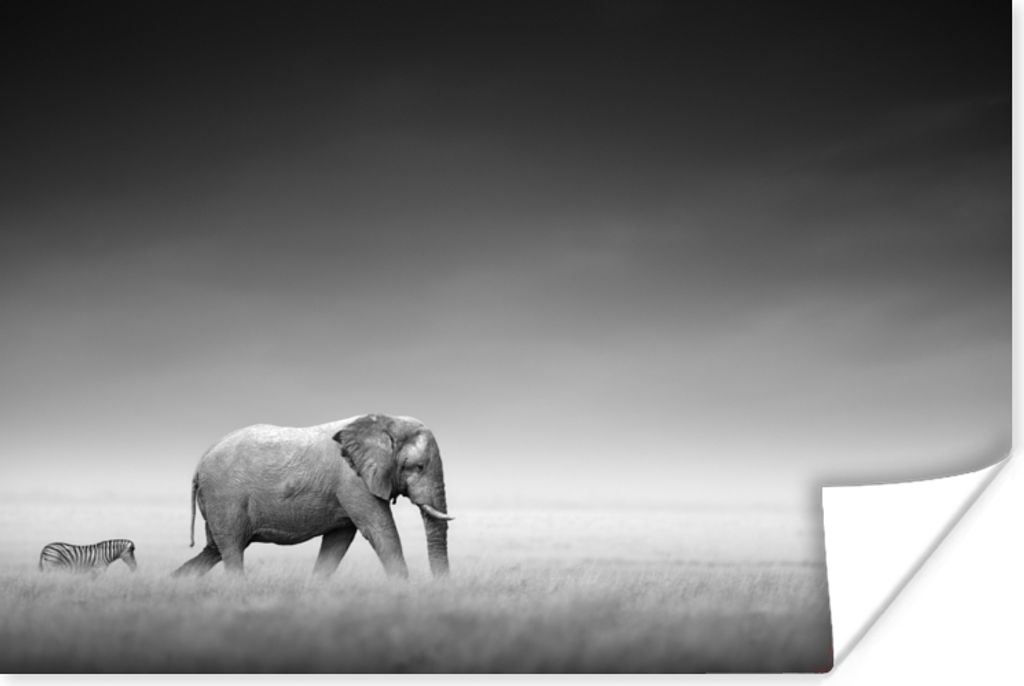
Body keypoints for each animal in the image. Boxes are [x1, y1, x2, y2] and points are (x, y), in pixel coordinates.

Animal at [172, 413, 452, 579]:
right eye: (418, 467)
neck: (385, 421)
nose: (439, 590)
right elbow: (381, 531)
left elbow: (338, 541)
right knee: (231, 549)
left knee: (214, 549)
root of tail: (200, 463)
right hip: (224, 497)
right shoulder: (353, 481)